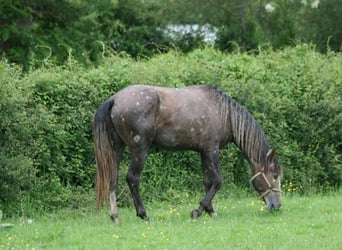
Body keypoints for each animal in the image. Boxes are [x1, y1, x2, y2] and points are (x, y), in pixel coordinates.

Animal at [94, 84, 284, 223]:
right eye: (274, 175)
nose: (277, 206)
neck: (225, 114)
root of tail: (115, 99)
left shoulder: (203, 152)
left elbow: (208, 181)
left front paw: (210, 210)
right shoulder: (212, 150)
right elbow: (217, 181)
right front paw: (198, 211)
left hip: (117, 148)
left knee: (113, 179)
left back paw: (115, 216)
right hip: (139, 150)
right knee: (132, 178)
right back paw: (143, 214)